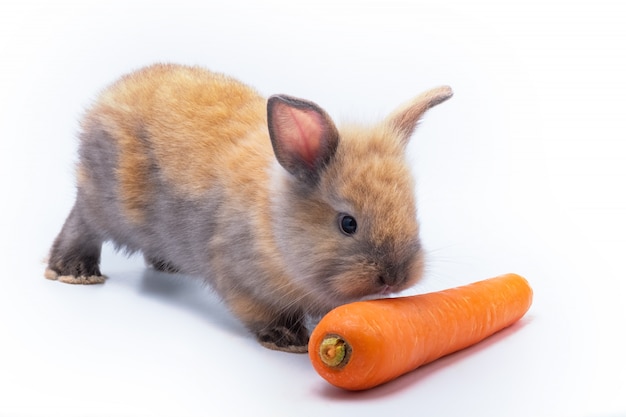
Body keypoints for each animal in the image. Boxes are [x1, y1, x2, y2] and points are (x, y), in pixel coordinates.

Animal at [45, 62, 454, 352]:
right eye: (347, 223)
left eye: (412, 210)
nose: (395, 278)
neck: (275, 223)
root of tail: (106, 96)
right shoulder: (242, 281)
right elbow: (263, 314)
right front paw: (288, 340)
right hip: (102, 201)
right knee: (81, 222)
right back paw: (73, 272)